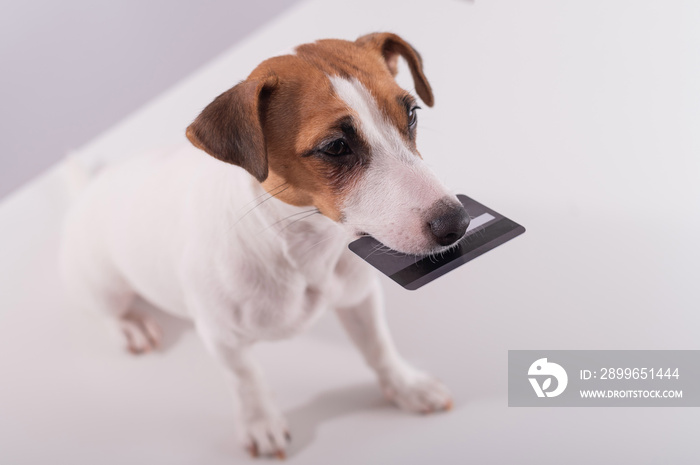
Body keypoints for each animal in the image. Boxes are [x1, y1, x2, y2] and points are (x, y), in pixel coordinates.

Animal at [61, 32, 470, 456]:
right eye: (335, 146)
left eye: (412, 114)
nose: (457, 223)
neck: (303, 248)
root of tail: (88, 189)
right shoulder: (222, 338)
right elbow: (246, 379)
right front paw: (260, 422)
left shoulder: (359, 299)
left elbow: (378, 346)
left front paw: (406, 385)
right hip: (103, 285)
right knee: (109, 310)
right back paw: (131, 326)